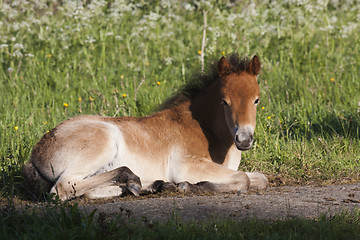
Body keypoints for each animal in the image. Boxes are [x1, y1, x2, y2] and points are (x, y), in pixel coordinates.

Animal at [23, 54, 268, 201]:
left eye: (256, 100)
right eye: (224, 101)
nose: (244, 139)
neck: (209, 131)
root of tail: (36, 153)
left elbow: (260, 179)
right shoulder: (187, 165)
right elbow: (243, 179)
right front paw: (187, 186)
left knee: (87, 192)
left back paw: (148, 185)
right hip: (104, 140)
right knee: (64, 188)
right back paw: (134, 179)